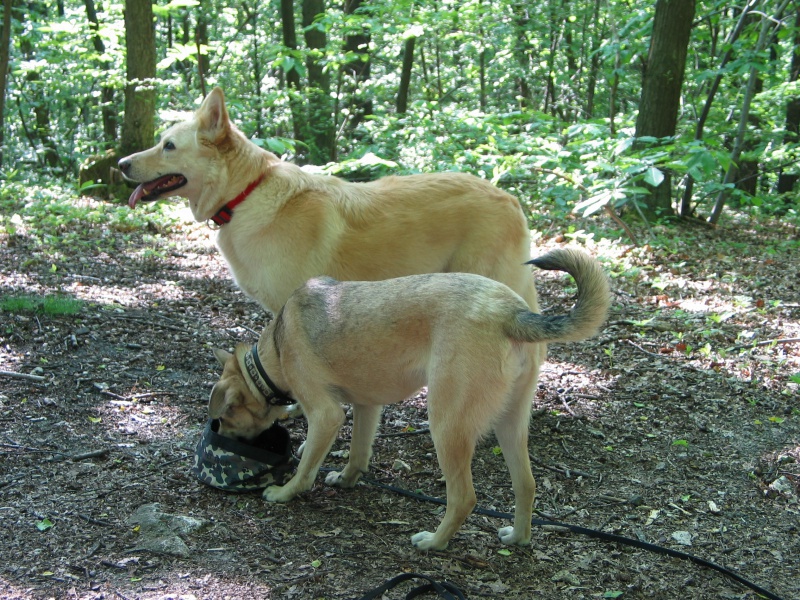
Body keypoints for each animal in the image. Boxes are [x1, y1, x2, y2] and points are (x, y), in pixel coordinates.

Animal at [209, 250, 608, 552]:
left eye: (224, 420)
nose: (220, 441)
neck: (272, 354)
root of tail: (512, 313)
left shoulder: (325, 415)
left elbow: (306, 466)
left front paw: (286, 492)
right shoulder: (367, 408)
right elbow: (358, 453)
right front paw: (348, 478)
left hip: (445, 426)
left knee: (464, 497)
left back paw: (434, 542)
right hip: (510, 424)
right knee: (526, 484)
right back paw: (518, 537)